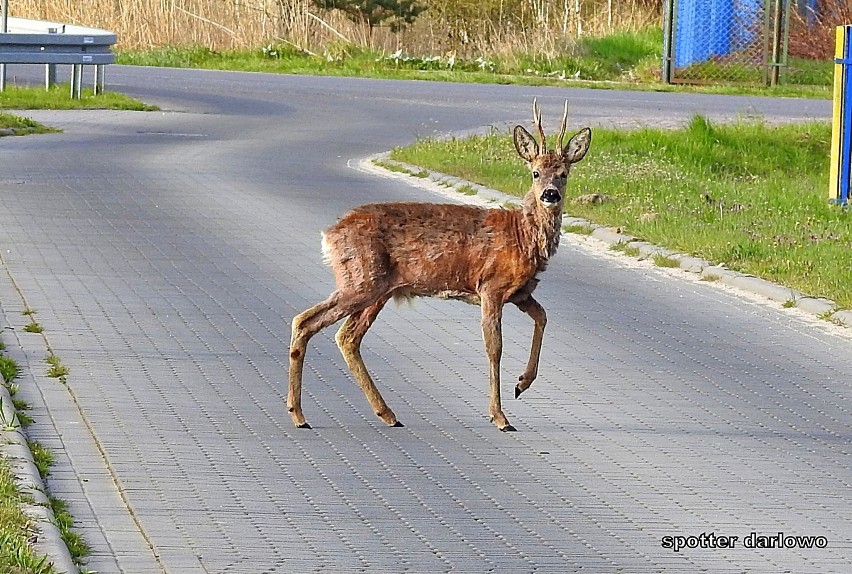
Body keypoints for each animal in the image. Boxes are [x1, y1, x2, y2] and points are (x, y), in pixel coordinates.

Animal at [288, 99, 592, 432]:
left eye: (563, 173)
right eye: (535, 173)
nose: (550, 195)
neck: (522, 236)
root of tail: (329, 234)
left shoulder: (521, 293)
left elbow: (543, 317)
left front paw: (521, 384)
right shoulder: (491, 287)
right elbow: (495, 348)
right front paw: (499, 416)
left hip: (376, 289)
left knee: (346, 336)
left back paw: (384, 413)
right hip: (361, 280)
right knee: (306, 322)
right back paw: (299, 414)